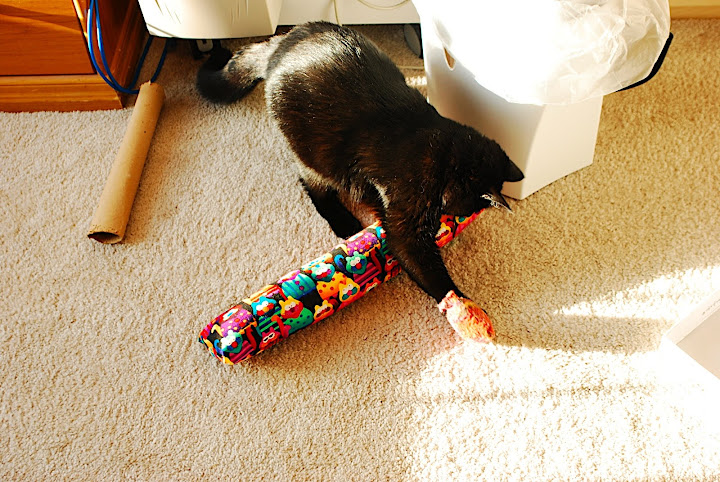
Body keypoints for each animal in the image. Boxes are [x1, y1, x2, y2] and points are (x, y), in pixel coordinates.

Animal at [197, 21, 523, 310]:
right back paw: (344, 222)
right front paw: (460, 302)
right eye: (472, 207)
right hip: (313, 153)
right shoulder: (406, 226)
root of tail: (283, 41)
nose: (457, 217)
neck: (443, 154)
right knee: (312, 186)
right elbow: (429, 270)